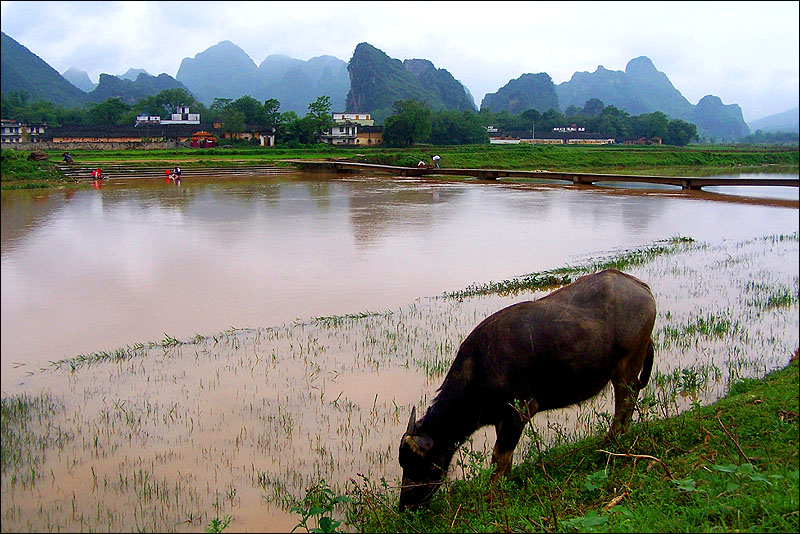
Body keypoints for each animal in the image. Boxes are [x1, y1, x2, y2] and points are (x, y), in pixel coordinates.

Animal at [400, 270, 656, 512]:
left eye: (418, 465)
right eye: (404, 464)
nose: (405, 506)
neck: (479, 369)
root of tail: (641, 287)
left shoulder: (519, 412)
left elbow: (499, 456)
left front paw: (492, 493)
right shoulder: (503, 419)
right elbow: (507, 457)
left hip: (629, 363)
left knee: (625, 399)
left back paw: (613, 439)